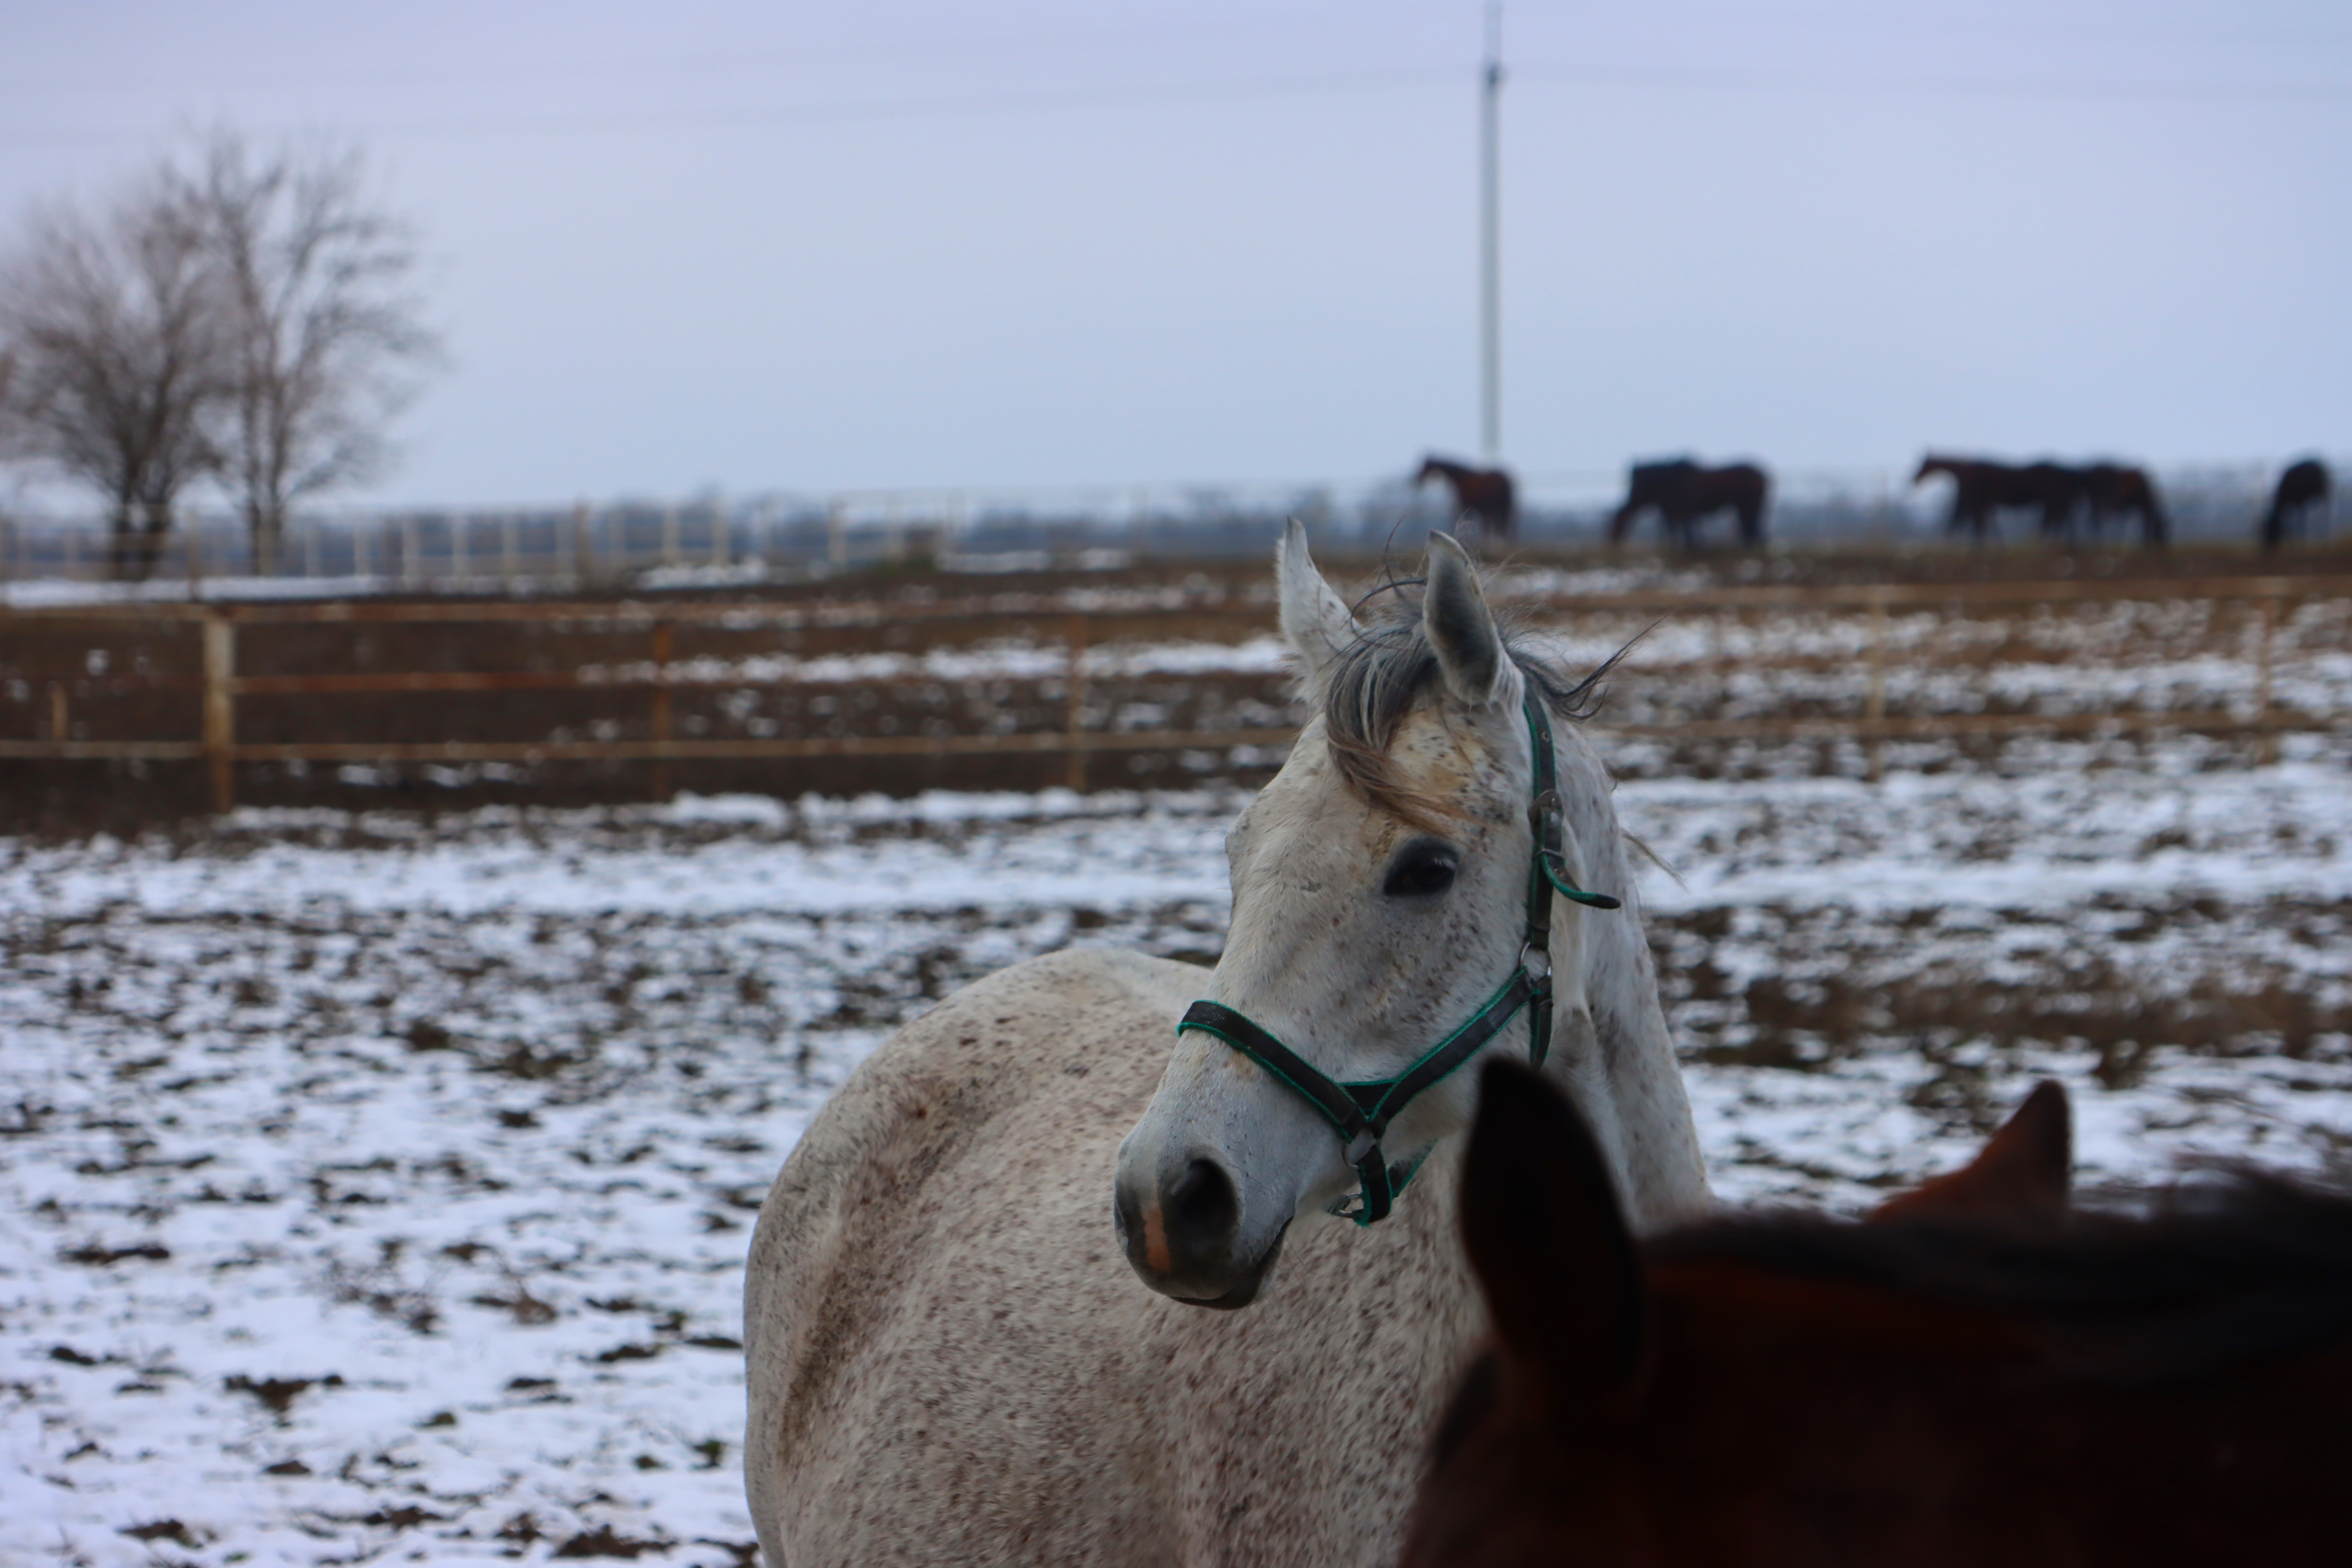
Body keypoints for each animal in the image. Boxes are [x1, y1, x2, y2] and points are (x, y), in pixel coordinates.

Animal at [1411, 456, 1524, 543]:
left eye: (1426, 467)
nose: (1418, 480)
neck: (1461, 478)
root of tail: (1506, 479)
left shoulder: (1466, 505)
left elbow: (1464, 520)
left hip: (1499, 507)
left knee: (1501, 524)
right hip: (1501, 506)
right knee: (1500, 525)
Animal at [1609, 456, 1768, 550]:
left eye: (1618, 523)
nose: (1613, 539)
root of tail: (1763, 475)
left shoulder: (1682, 510)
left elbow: (1686, 531)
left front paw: (1691, 546)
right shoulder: (1678, 511)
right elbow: (1681, 530)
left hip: (1750, 506)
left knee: (1752, 527)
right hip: (1746, 507)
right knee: (1750, 527)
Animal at [2258, 454, 2333, 552]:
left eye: (2272, 529)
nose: (2268, 547)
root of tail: (2325, 468)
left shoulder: (2299, 501)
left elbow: (2300, 520)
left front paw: (2302, 544)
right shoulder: (2292, 506)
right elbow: (2291, 521)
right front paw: (2293, 545)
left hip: (2324, 491)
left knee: (2329, 510)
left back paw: (2329, 540)